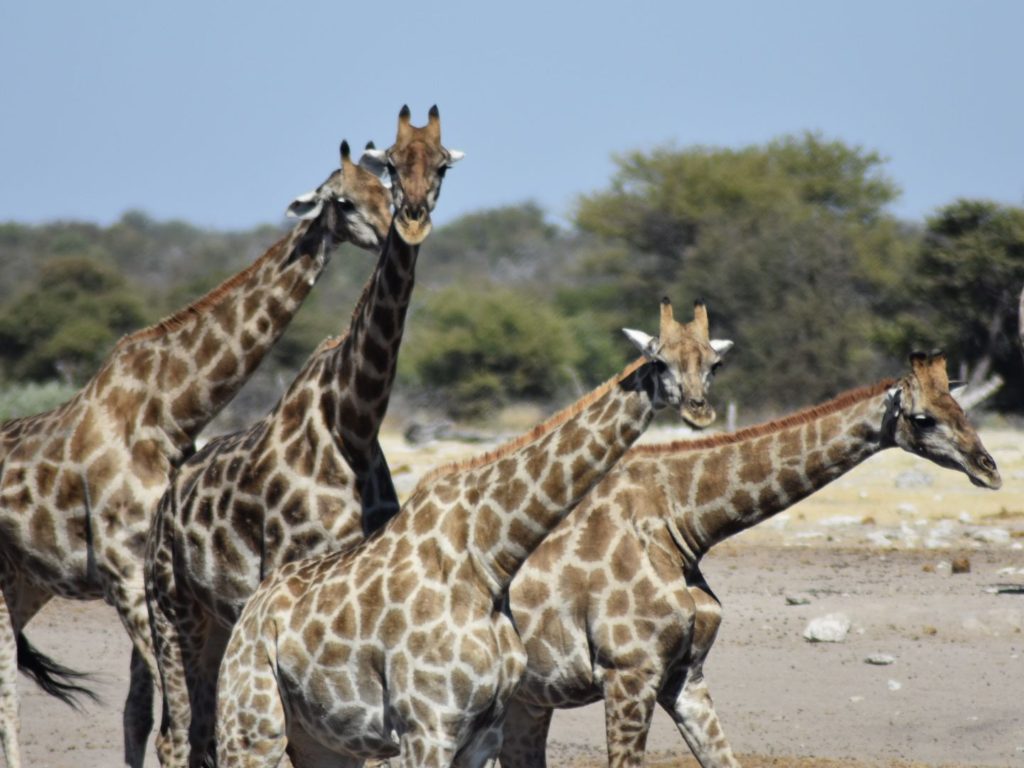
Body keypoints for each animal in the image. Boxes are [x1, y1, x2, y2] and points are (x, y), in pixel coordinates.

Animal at [0, 140, 391, 768]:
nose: (392, 231)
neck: (170, 411)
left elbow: (138, 713)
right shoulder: (126, 574)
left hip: (27, 583)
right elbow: (172, 722)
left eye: (385, 188)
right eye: (344, 200)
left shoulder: (143, 577)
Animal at [142, 103, 462, 768]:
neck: (354, 421)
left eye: (442, 164)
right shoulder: (291, 576)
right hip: (171, 607)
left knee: (204, 731)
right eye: (389, 168)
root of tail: (164, 504)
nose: (409, 221)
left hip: (219, 621)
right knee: (178, 734)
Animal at [211, 299, 733, 768]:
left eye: (714, 363)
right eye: (659, 361)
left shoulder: (483, 733)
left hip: (325, 742)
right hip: (252, 721)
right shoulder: (427, 726)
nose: (699, 410)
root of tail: (252, 608)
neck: (490, 559)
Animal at [495, 350, 999, 768]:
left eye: (962, 410)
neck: (683, 522)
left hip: (525, 701)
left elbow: (723, 759)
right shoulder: (628, 673)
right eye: (923, 418)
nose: (988, 470)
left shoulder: (685, 676)